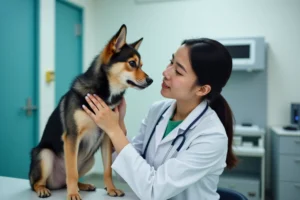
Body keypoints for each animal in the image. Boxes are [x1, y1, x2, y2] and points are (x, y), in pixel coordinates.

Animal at [28, 24, 152, 199]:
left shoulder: (107, 137)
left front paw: (111, 189)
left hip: (90, 160)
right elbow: (72, 172)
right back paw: (43, 189)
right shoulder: (72, 136)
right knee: (37, 182)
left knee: (68, 179)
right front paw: (73, 194)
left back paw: (84, 185)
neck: (104, 95)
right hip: (44, 154)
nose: (151, 80)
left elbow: (107, 170)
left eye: (141, 65)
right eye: (132, 63)